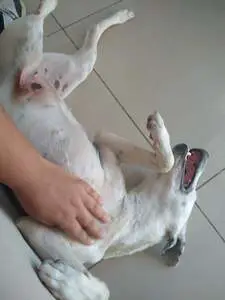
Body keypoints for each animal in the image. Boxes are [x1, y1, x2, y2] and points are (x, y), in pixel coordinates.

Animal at [0, 0, 208, 300]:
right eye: (195, 193)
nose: (191, 148)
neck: (127, 215)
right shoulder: (35, 228)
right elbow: (164, 162)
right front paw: (159, 130)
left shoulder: (103, 146)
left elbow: (99, 286)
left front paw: (65, 280)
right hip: (34, 48)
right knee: (36, 24)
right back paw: (45, 7)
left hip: (74, 67)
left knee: (86, 35)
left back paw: (117, 15)